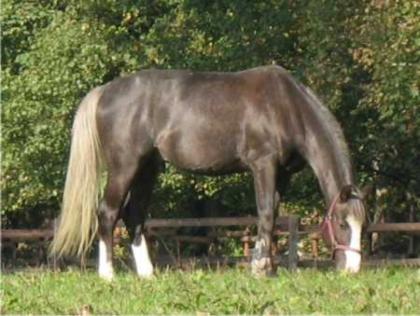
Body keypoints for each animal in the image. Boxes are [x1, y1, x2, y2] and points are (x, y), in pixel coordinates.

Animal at [51, 65, 368, 278]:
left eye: (362, 226)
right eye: (342, 224)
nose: (352, 269)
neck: (286, 106)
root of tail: (104, 91)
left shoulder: (283, 174)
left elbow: (273, 215)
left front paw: (268, 267)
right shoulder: (263, 165)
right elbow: (266, 213)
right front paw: (259, 268)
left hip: (147, 169)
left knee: (134, 216)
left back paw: (147, 273)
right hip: (124, 167)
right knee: (107, 212)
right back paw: (107, 274)